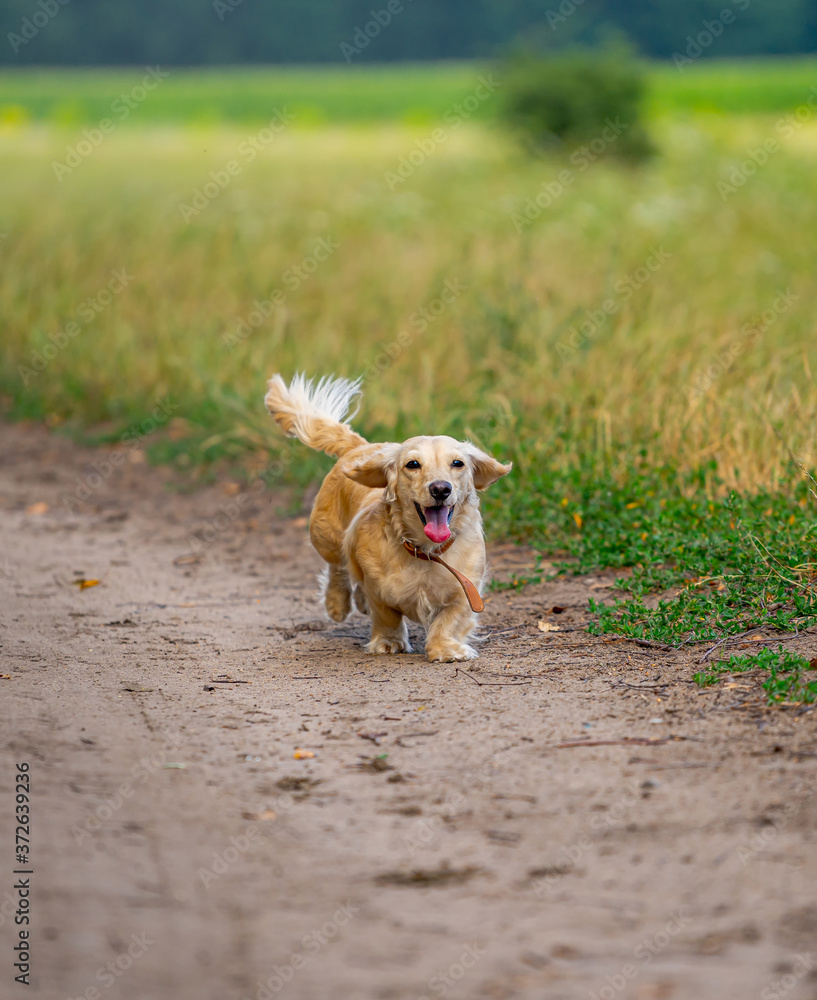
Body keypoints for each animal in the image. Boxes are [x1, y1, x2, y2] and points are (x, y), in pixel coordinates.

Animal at [264, 372, 510, 660]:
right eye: (412, 464)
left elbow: (451, 619)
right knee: (338, 569)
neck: (426, 552)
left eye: (457, 463)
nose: (440, 488)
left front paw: (446, 648)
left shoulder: (466, 588)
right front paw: (389, 642)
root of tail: (364, 447)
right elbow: (386, 616)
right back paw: (337, 604)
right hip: (325, 537)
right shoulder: (378, 589)